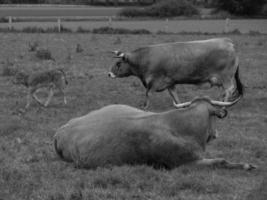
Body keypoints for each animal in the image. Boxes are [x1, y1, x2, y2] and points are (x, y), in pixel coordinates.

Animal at [54, 97, 255, 170]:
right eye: (214, 117)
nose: (215, 134)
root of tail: (61, 131)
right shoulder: (185, 164)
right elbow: (220, 161)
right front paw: (245, 165)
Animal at [108, 37, 245, 109]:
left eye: (118, 64)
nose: (109, 74)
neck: (145, 58)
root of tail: (227, 42)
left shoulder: (154, 82)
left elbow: (148, 94)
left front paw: (145, 107)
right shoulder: (170, 82)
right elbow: (175, 96)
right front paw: (181, 106)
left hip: (226, 77)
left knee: (229, 89)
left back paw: (223, 105)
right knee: (224, 91)